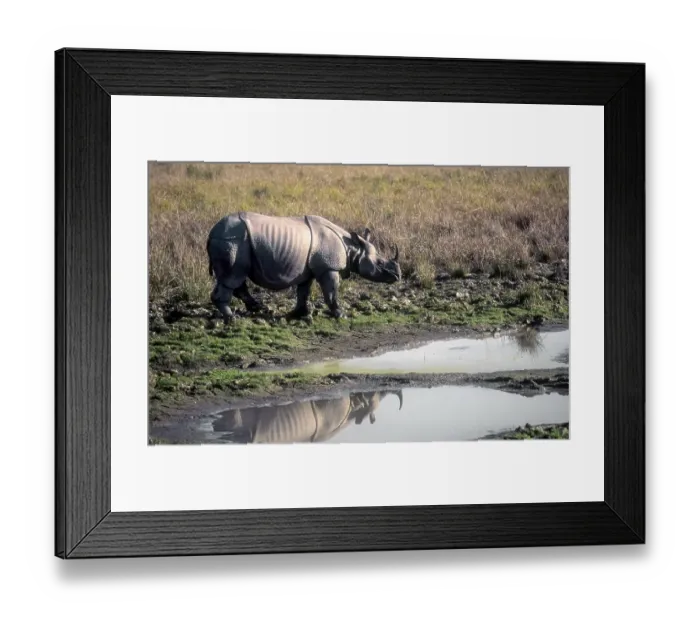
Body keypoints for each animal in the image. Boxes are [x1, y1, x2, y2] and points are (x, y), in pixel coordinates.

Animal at [206, 211, 401, 322]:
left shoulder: (307, 270)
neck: (352, 248)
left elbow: (303, 291)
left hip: (235, 242)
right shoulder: (329, 268)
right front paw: (341, 315)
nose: (398, 276)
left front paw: (299, 314)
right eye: (380, 264)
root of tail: (211, 233)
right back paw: (233, 319)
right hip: (233, 242)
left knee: (236, 278)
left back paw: (258, 308)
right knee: (233, 277)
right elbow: (331, 292)